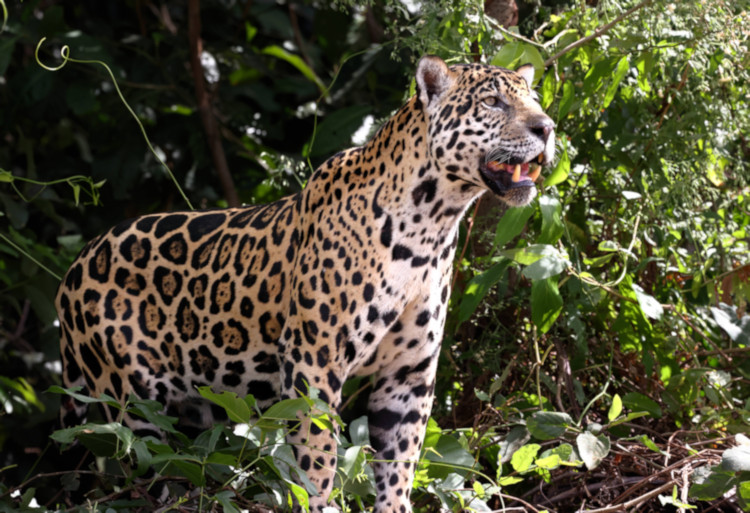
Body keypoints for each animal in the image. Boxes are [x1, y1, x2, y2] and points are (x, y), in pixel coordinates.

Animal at [55, 55, 555, 512]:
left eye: (534, 100)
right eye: (492, 102)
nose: (547, 128)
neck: (431, 224)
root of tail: (74, 268)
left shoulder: (409, 373)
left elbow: (399, 464)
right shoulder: (314, 361)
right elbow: (317, 457)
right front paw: (318, 502)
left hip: (195, 407)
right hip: (133, 405)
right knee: (145, 473)